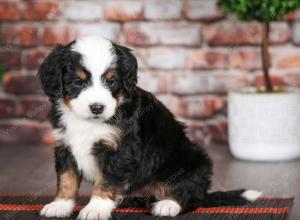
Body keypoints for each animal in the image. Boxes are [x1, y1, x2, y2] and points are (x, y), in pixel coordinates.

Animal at [38, 36, 262, 220]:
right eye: (78, 82)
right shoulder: (64, 145)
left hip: (190, 161)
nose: (97, 107)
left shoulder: (120, 150)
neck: (88, 122)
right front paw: (60, 205)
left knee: (189, 196)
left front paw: (96, 208)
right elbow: (66, 179)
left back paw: (167, 205)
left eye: (111, 81)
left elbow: (106, 181)